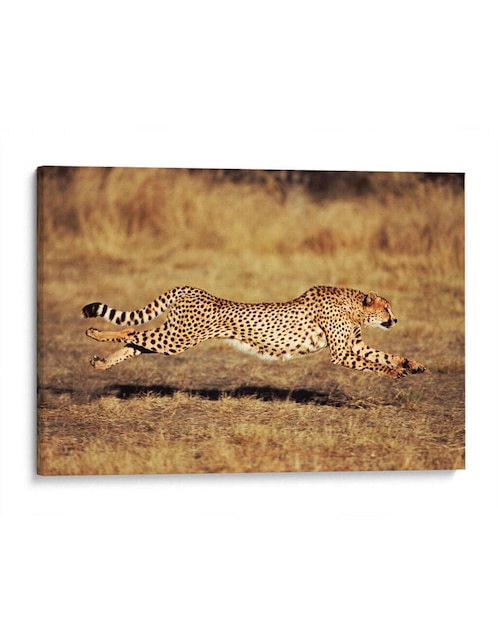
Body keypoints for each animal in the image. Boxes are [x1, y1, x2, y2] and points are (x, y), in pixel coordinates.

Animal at [82, 285, 425, 379]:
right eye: (387, 309)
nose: (396, 320)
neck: (353, 306)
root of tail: (191, 289)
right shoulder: (341, 353)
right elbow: (373, 363)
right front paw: (394, 372)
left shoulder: (354, 346)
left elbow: (384, 355)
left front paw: (412, 364)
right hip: (178, 338)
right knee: (130, 331)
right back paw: (95, 333)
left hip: (173, 337)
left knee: (135, 342)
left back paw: (100, 362)